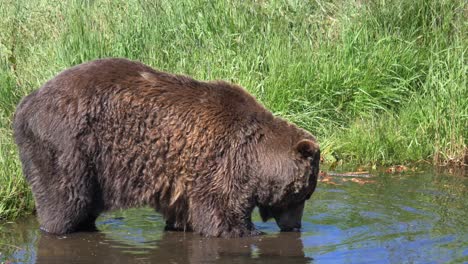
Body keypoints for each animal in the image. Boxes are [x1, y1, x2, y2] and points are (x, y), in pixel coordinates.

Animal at [12, 58, 320, 238]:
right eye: (303, 193)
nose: (295, 225)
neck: (256, 157)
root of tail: (26, 103)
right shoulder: (220, 160)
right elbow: (221, 214)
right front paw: (247, 231)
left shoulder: (184, 177)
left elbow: (184, 213)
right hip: (70, 146)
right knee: (65, 200)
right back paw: (59, 227)